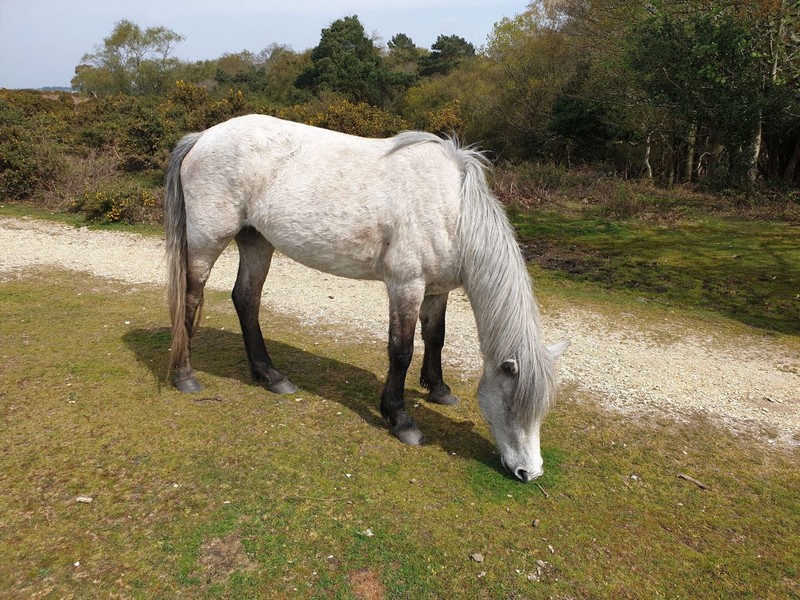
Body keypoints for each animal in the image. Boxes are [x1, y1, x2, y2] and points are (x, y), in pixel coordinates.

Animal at [164, 115, 568, 482]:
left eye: (542, 410)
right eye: (514, 405)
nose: (529, 472)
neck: (452, 208)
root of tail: (202, 137)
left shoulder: (436, 290)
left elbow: (435, 338)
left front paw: (438, 389)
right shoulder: (406, 285)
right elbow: (401, 351)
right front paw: (401, 420)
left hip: (256, 240)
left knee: (246, 299)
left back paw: (271, 376)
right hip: (206, 242)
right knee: (192, 298)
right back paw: (185, 376)